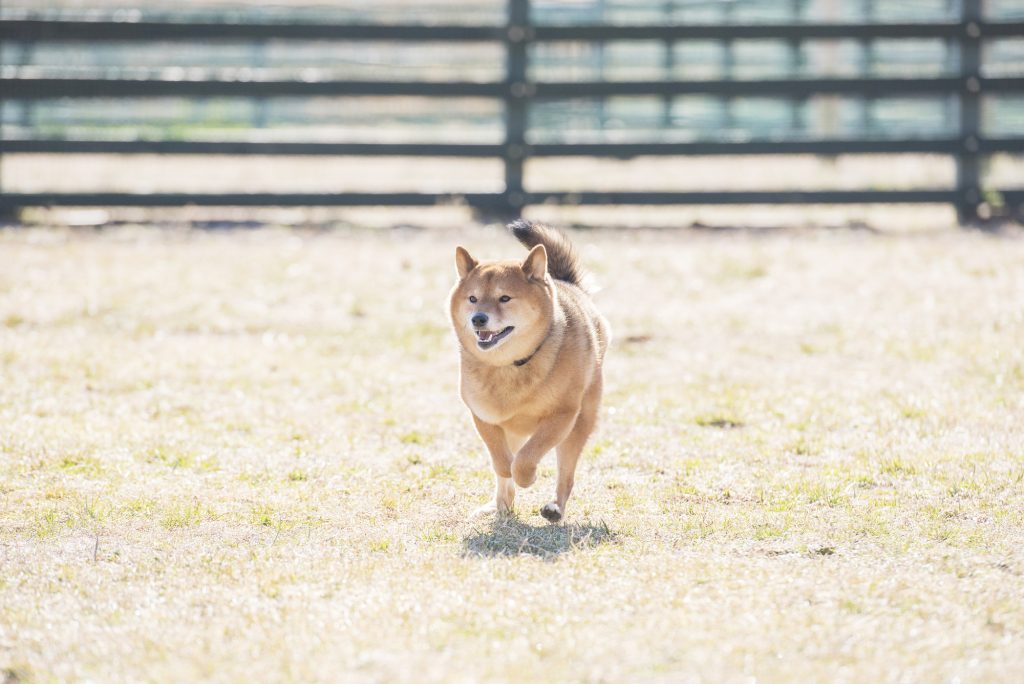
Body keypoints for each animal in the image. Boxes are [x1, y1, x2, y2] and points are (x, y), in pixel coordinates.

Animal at [448, 222, 606, 520]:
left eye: (505, 298)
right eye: (473, 298)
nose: (478, 319)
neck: (512, 365)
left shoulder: (562, 416)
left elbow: (524, 459)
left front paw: (527, 477)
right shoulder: (484, 418)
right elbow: (501, 463)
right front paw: (504, 497)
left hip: (580, 423)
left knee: (565, 474)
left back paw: (555, 507)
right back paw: (499, 505)